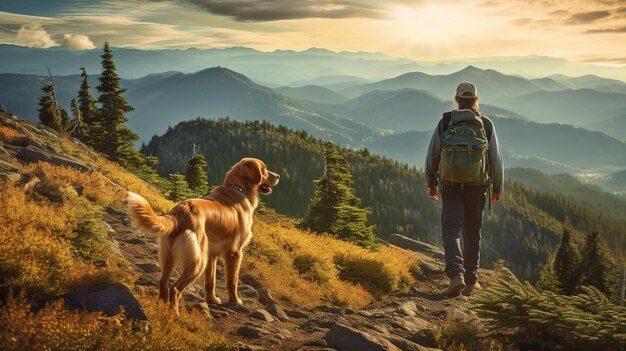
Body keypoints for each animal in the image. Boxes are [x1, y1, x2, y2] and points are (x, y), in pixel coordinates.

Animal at [127, 158, 278, 312]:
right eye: (265, 170)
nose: (278, 176)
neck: (238, 189)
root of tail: (180, 211)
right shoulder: (235, 252)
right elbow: (233, 281)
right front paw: (235, 301)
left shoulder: (212, 255)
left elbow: (211, 281)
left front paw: (212, 299)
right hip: (198, 260)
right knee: (175, 288)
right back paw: (174, 313)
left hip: (172, 254)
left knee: (163, 282)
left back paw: (163, 310)